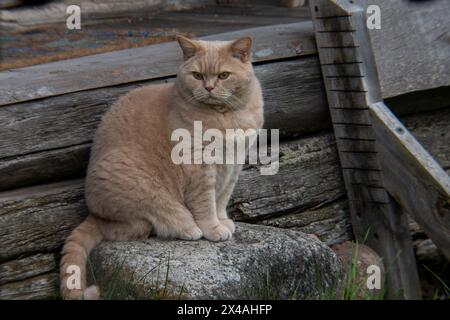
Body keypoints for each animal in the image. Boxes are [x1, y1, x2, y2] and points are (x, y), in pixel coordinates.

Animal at [59, 35, 264, 300]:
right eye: (197, 75)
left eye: (223, 75)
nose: (208, 87)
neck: (226, 117)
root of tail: (93, 213)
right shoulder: (200, 168)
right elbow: (206, 204)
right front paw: (213, 228)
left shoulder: (233, 166)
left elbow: (221, 200)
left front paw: (223, 221)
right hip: (145, 196)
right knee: (136, 227)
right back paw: (188, 229)